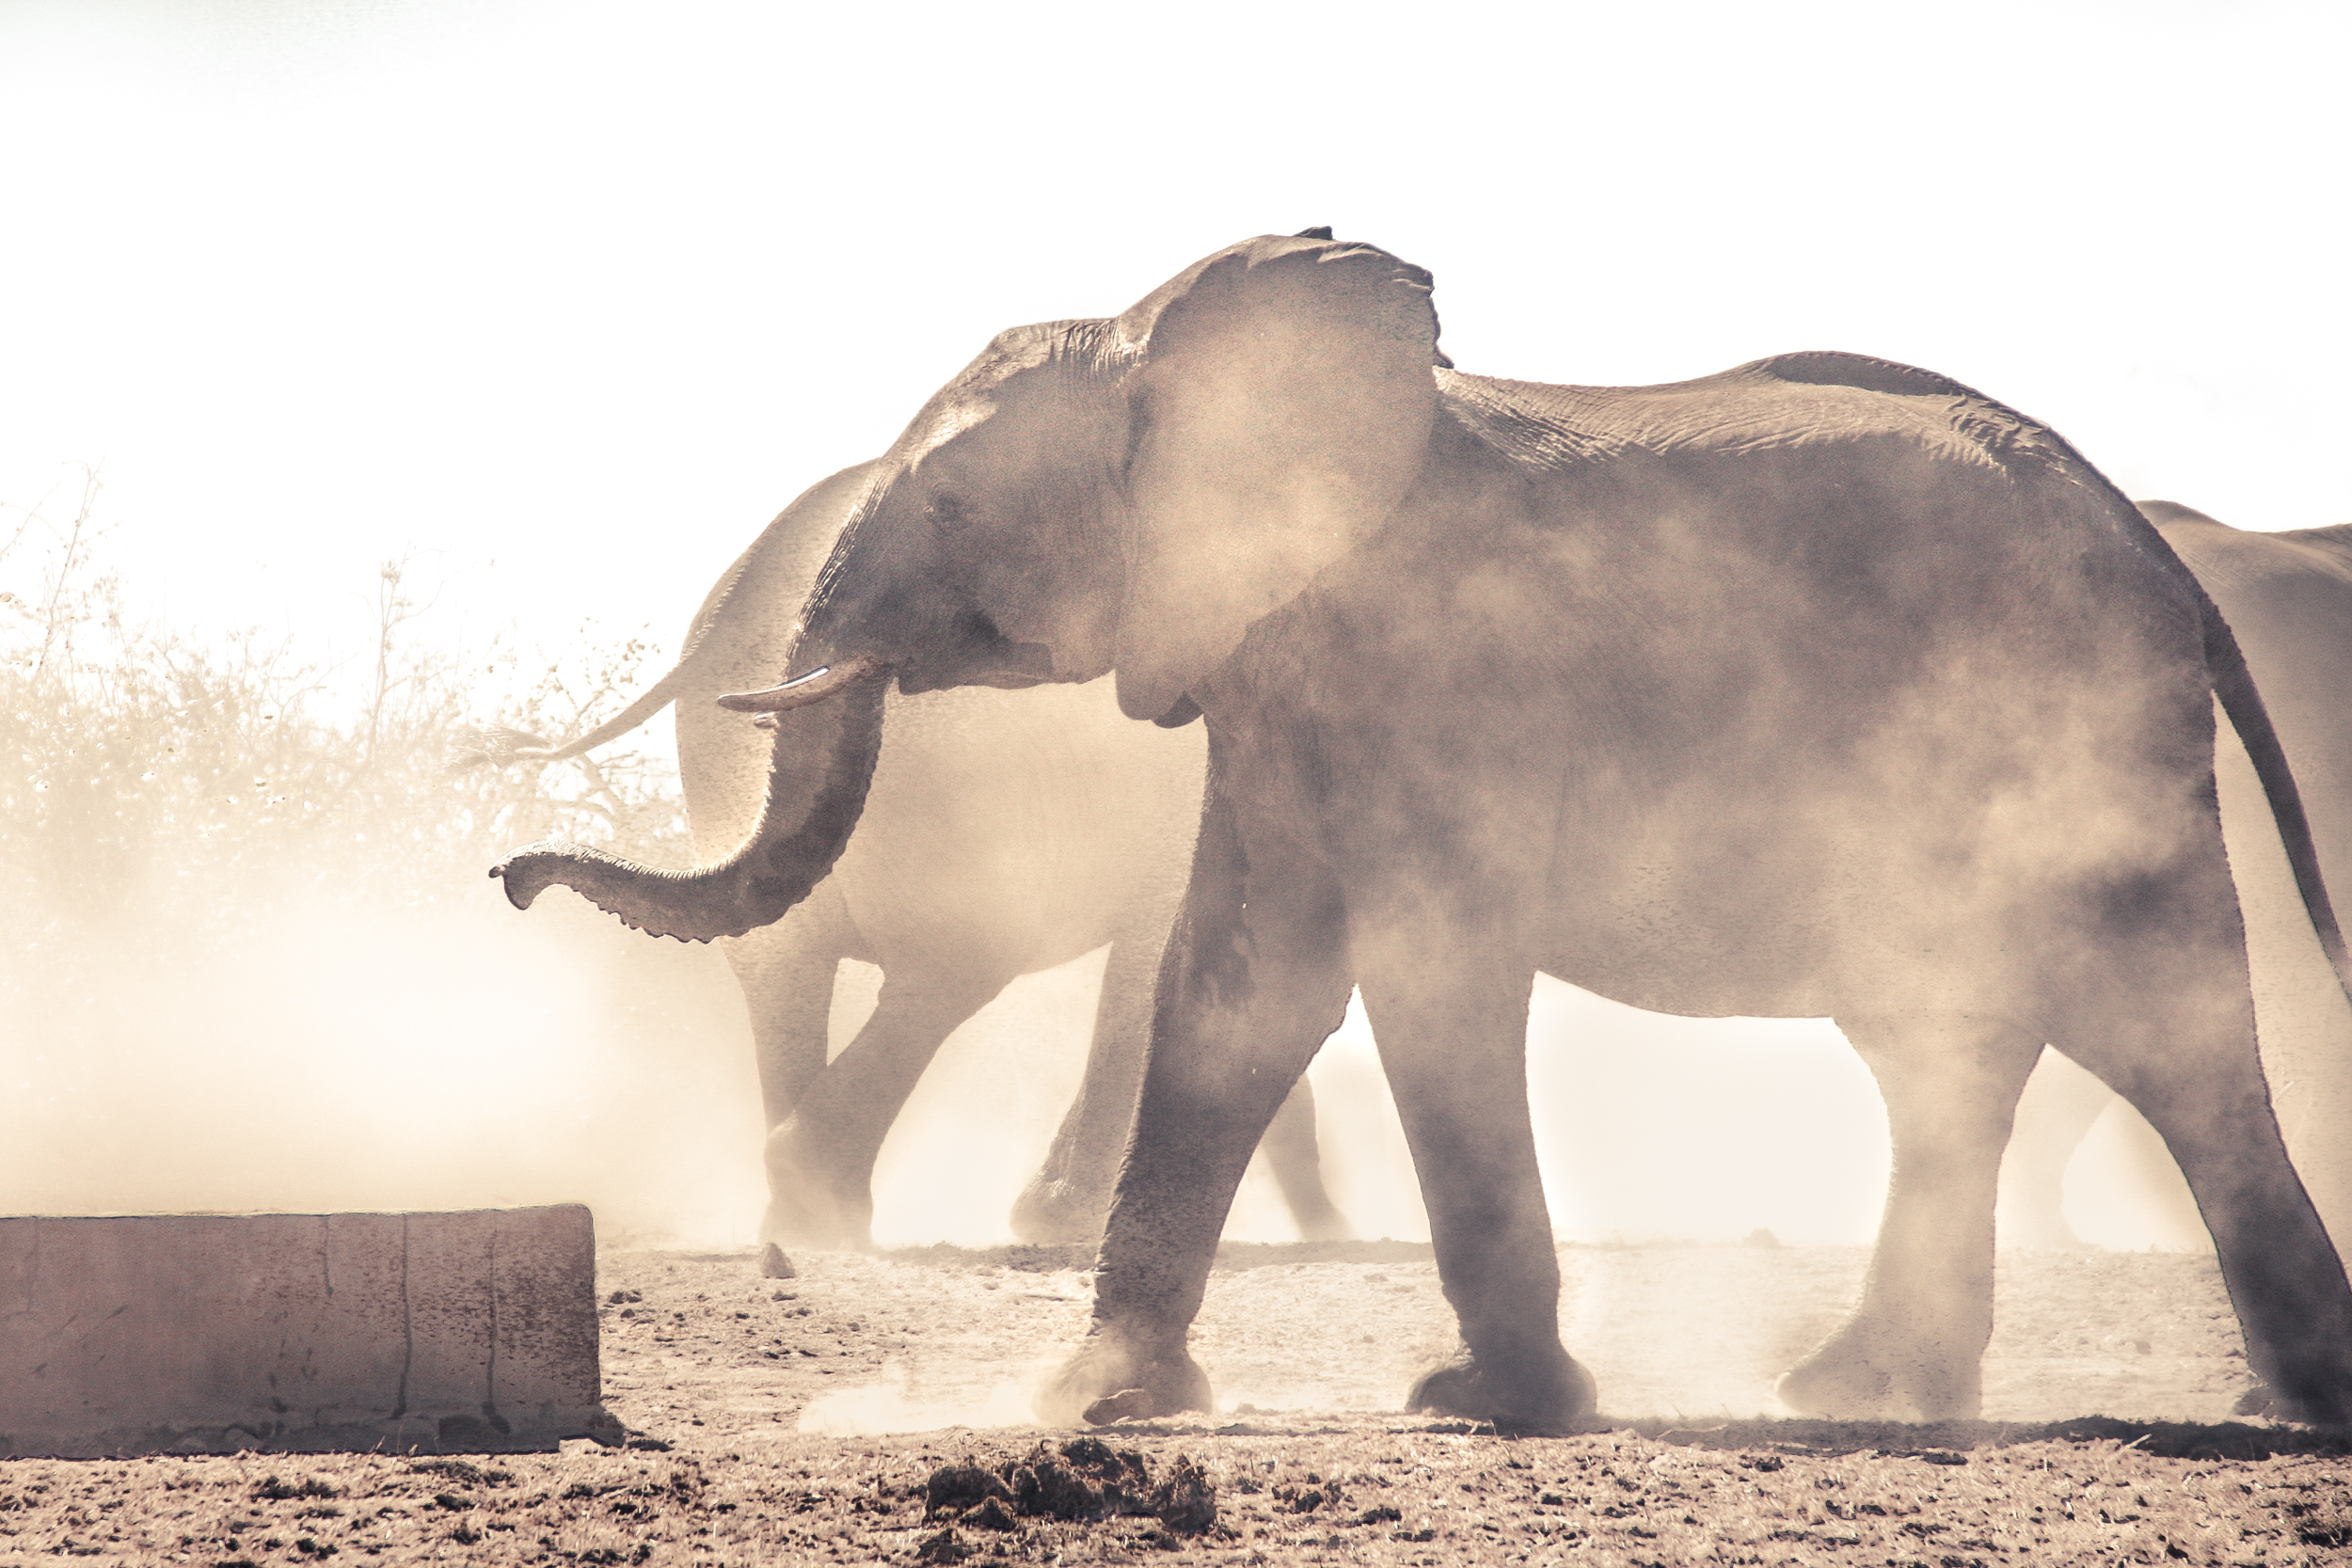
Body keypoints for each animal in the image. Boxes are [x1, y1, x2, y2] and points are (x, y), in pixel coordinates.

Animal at [486, 460, 1355, 1259]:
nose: (508, 877)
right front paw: (1066, 1222)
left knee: (786, 968)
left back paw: (807, 1214)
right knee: (956, 961)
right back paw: (824, 1207)